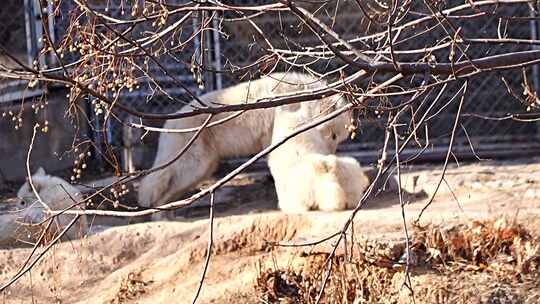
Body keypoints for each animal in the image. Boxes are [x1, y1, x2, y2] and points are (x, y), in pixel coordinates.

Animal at [137, 72, 352, 218]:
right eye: (334, 135)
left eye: (339, 138)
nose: (331, 153)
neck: (298, 95)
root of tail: (168, 124)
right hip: (194, 163)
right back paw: (161, 215)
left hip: (204, 167)